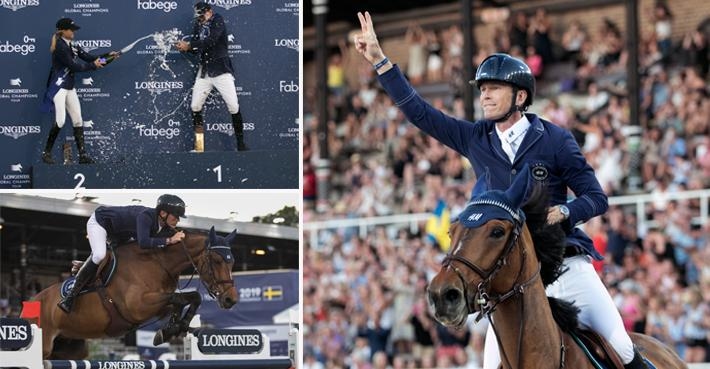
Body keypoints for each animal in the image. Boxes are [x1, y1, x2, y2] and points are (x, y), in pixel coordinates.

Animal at [28, 226, 239, 358]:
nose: (231, 299)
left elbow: (188, 298)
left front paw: (172, 329)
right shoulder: (138, 307)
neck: (158, 263)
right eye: (217, 261)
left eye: (232, 263)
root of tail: (30, 302)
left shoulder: (158, 306)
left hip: (72, 347)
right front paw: (171, 329)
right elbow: (181, 298)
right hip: (45, 344)